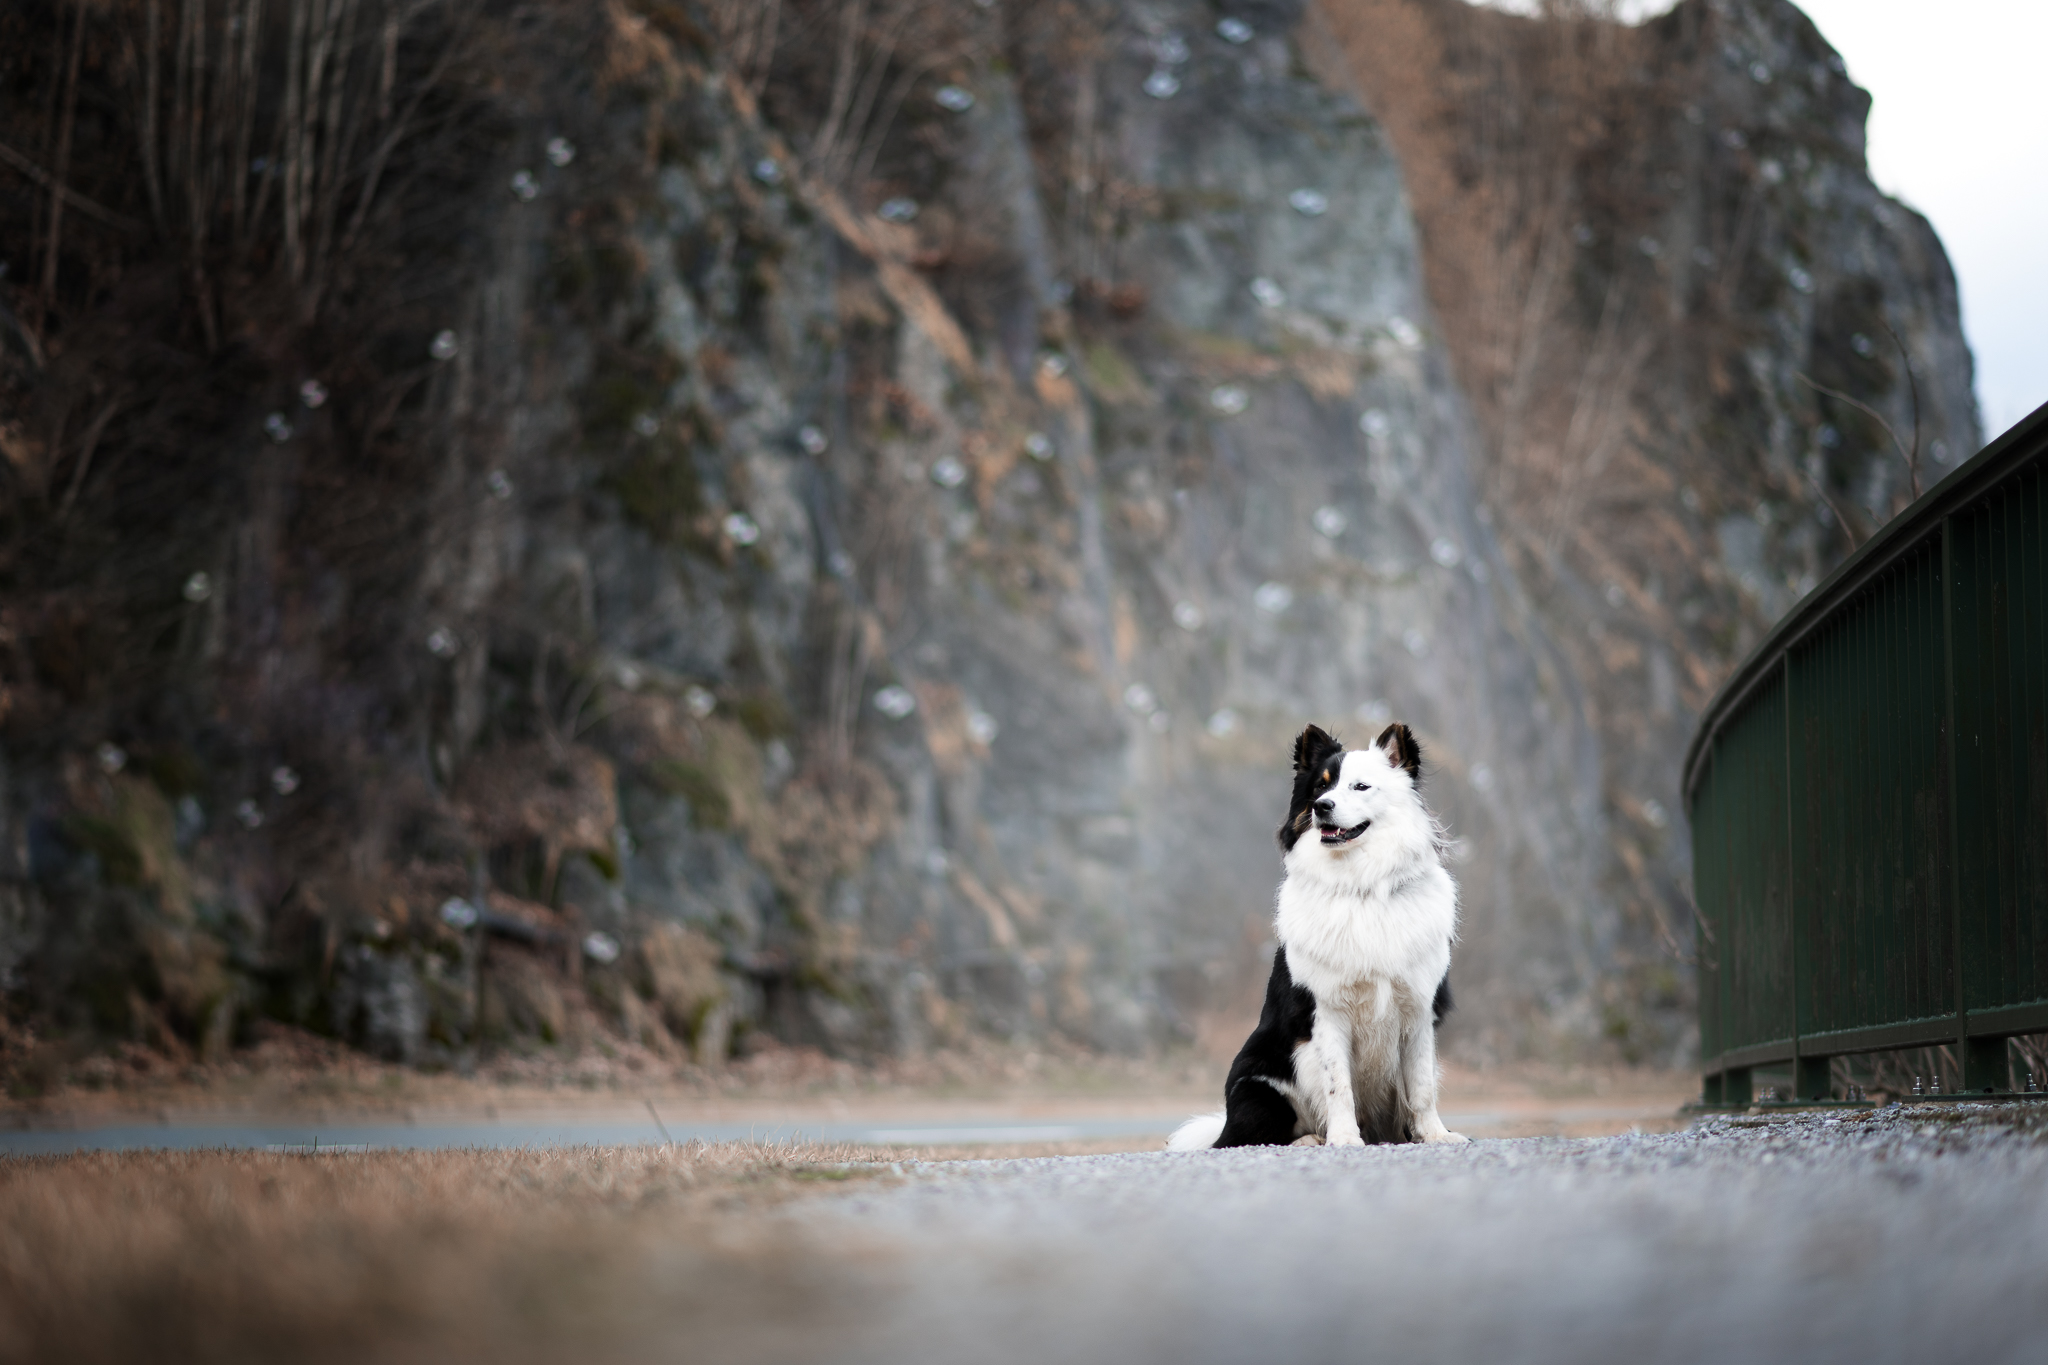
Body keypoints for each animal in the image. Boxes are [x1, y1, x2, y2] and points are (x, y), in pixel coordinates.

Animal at [1163, 720, 1466, 1146]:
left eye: (1360, 786)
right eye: (1320, 787)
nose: (1323, 807)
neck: (1362, 887)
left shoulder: (1419, 1010)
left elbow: (1422, 1086)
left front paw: (1436, 1135)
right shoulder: (1325, 1011)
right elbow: (1338, 1084)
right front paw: (1344, 1138)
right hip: (1257, 1082)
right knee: (1250, 1134)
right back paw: (1310, 1139)